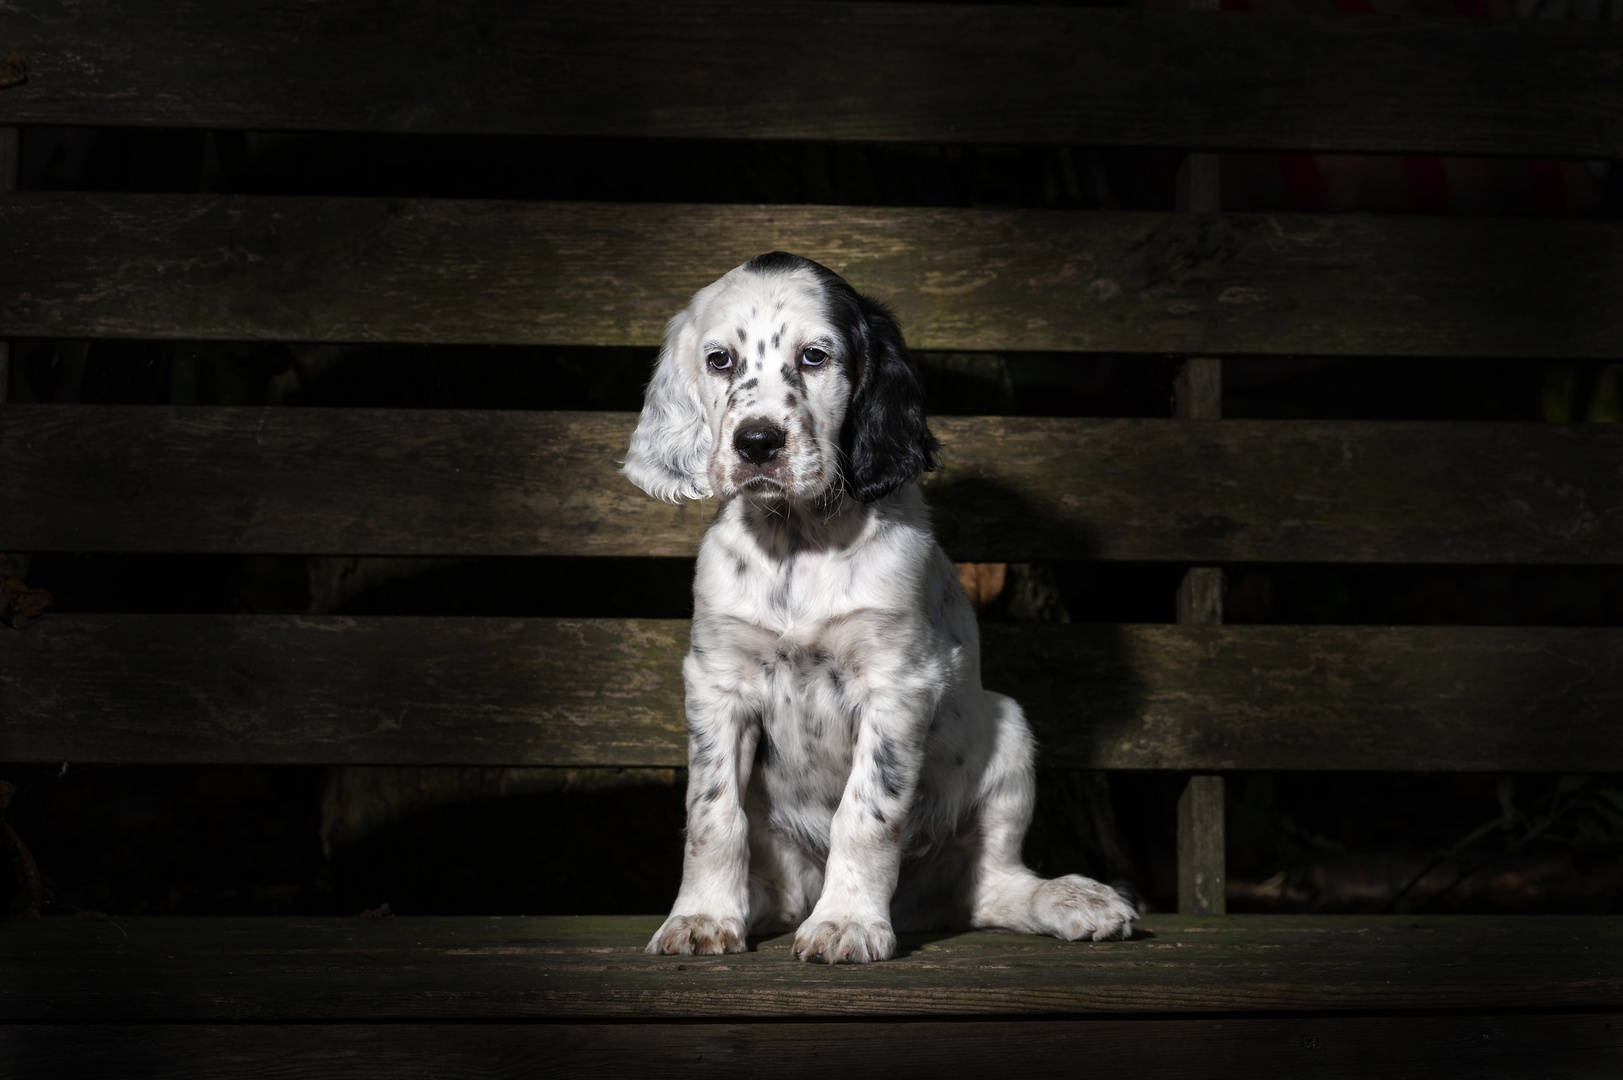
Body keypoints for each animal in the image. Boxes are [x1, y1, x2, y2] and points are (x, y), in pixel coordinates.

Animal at [613, 253, 1136, 961]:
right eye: (719, 360)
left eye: (814, 356)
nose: (757, 442)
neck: (799, 541)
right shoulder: (717, 681)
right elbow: (711, 811)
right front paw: (701, 917)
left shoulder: (897, 684)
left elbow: (864, 812)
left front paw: (847, 923)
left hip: (1009, 732)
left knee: (992, 886)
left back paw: (1071, 899)